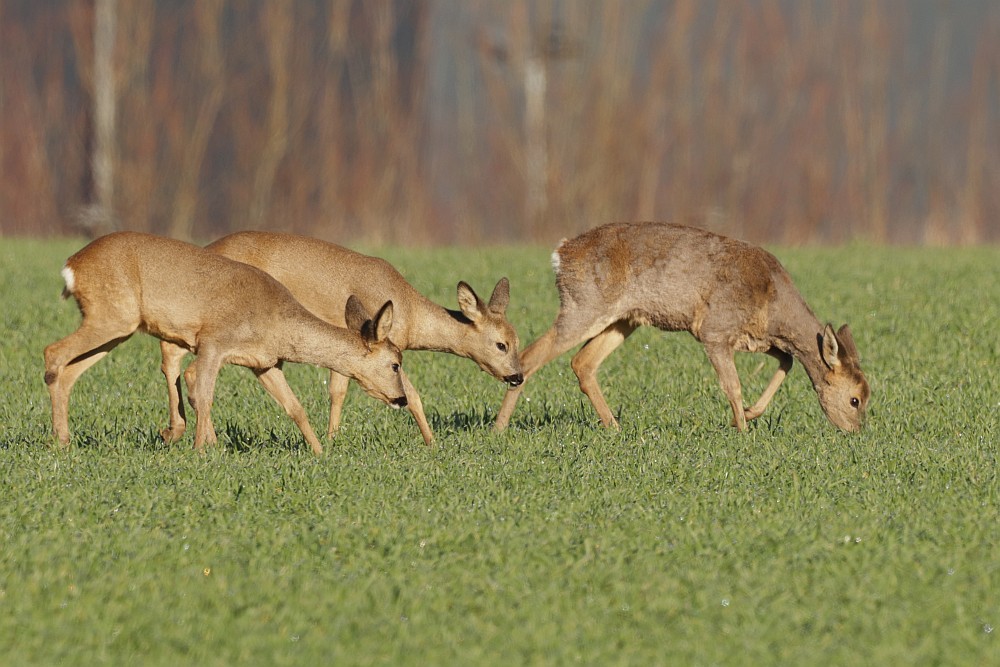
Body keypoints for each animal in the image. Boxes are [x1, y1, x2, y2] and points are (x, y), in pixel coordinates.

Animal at [46, 232, 406, 456]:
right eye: (395, 363)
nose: (401, 399)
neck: (277, 322)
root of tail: (71, 266)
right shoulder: (213, 341)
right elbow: (201, 391)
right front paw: (201, 449)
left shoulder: (265, 363)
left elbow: (295, 407)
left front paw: (319, 453)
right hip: (111, 316)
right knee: (52, 353)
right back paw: (60, 441)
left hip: (117, 327)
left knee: (69, 371)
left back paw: (65, 440)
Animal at [159, 232, 524, 446]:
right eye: (501, 344)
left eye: (517, 339)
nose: (518, 376)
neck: (409, 311)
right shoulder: (379, 341)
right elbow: (409, 395)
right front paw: (432, 444)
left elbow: (339, 391)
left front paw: (332, 440)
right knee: (183, 363)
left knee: (171, 354)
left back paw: (173, 431)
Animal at [496, 223, 872, 434]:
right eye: (855, 399)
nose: (857, 432)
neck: (771, 301)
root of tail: (560, 253)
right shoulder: (715, 329)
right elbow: (733, 386)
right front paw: (743, 431)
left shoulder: (757, 338)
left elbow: (788, 360)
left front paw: (750, 415)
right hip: (583, 305)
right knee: (529, 358)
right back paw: (499, 428)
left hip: (624, 319)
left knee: (582, 363)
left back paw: (615, 428)